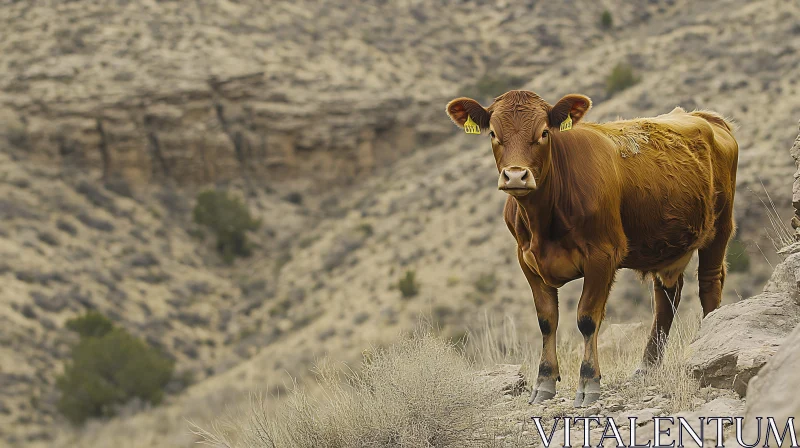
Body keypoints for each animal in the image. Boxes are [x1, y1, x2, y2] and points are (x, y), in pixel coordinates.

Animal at [444, 90, 736, 406]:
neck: (543, 222)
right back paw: (646, 367)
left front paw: (588, 383)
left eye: (544, 132)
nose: (516, 176)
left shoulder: (602, 256)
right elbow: (546, 320)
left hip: (720, 227)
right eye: (494, 134)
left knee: (709, 285)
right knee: (666, 297)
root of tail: (705, 116)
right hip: (668, 245)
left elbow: (586, 318)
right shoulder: (527, 260)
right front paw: (544, 382)